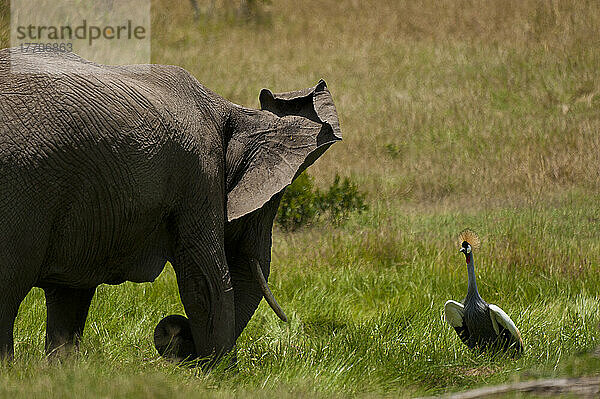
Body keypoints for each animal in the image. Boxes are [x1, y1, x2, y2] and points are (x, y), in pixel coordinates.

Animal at [0, 47, 342, 366]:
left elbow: (72, 291)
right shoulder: (200, 174)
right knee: (8, 287)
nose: (177, 334)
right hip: (21, 184)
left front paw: (62, 372)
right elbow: (206, 281)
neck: (234, 111)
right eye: (267, 202)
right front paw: (221, 376)